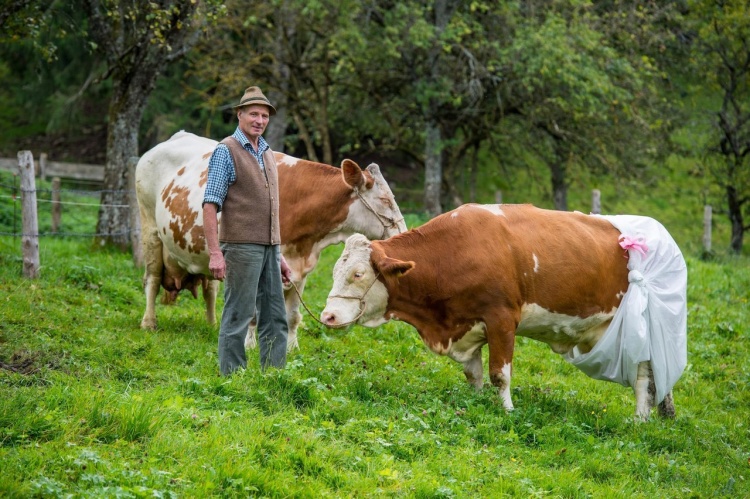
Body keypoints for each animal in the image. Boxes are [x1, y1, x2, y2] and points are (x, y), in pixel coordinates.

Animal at [320, 204, 692, 422]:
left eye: (358, 274)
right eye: (335, 271)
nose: (328, 316)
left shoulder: (502, 319)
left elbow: (500, 373)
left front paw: (507, 410)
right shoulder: (465, 324)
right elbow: (473, 374)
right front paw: (475, 401)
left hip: (640, 326)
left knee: (644, 374)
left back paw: (641, 419)